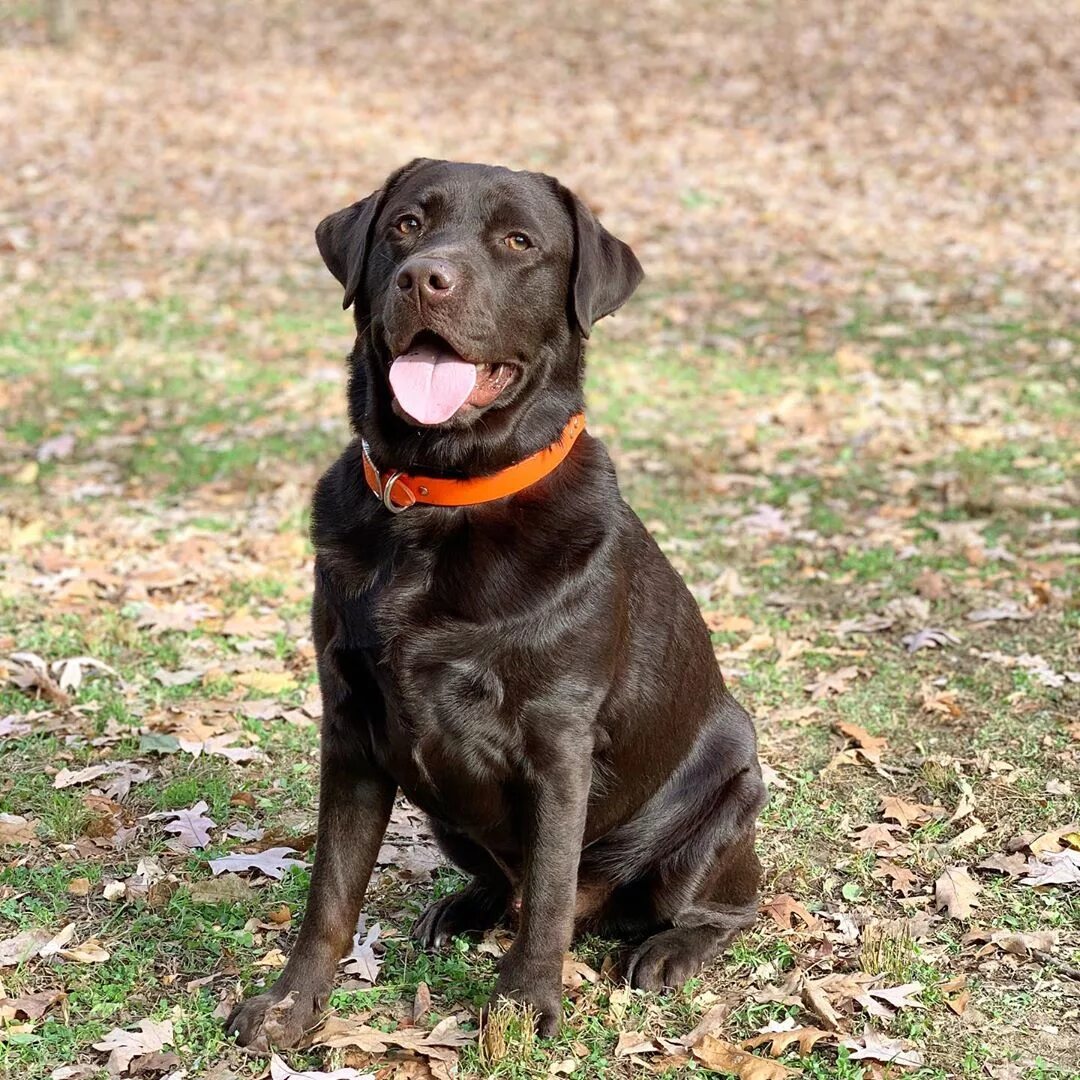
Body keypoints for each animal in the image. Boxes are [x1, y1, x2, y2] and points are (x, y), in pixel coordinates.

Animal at [227, 157, 768, 1045]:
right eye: (405, 225)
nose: (425, 278)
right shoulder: (350, 727)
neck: (440, 499)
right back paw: (463, 909)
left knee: (719, 906)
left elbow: (547, 895)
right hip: (448, 816)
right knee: (507, 885)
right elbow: (330, 893)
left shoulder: (558, 741)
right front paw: (288, 1004)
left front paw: (521, 1009)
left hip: (730, 790)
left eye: (519, 241)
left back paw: (668, 951)